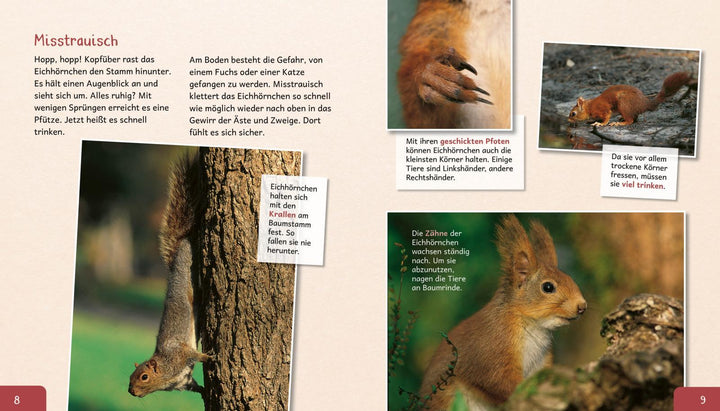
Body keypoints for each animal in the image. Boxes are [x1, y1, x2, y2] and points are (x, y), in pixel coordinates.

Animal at [128, 154, 212, 398]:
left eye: (144, 377)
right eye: (130, 376)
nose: (131, 391)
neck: (166, 372)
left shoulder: (180, 354)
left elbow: (193, 354)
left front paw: (208, 356)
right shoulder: (183, 382)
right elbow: (194, 386)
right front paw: (204, 392)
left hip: (186, 278)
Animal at [418, 215, 587, 410]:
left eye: (570, 278)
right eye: (548, 287)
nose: (582, 306)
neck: (532, 325)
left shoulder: (541, 361)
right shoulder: (494, 346)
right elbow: (500, 382)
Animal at [567, 71, 697, 127]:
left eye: (573, 113)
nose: (568, 120)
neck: (589, 107)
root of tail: (644, 104)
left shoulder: (603, 109)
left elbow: (606, 117)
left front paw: (600, 123)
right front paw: (590, 121)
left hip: (623, 104)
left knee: (630, 120)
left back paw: (619, 123)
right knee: (635, 117)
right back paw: (621, 118)